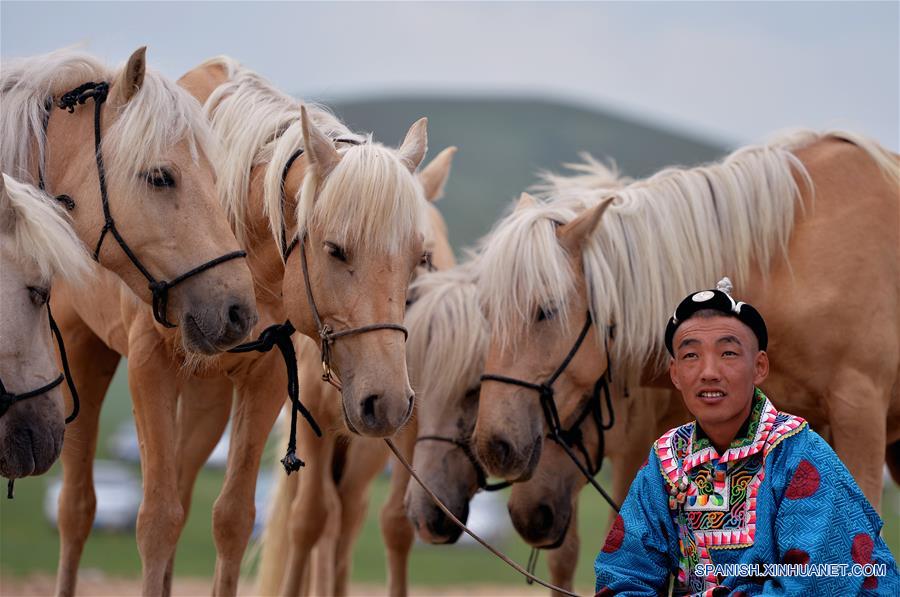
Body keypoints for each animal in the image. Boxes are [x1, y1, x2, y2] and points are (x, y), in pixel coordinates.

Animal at [255, 150, 458, 596]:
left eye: (424, 257)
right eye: (335, 249)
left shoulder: (405, 424)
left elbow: (395, 524)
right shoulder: (313, 419)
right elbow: (308, 520)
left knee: (347, 515)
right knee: (329, 517)